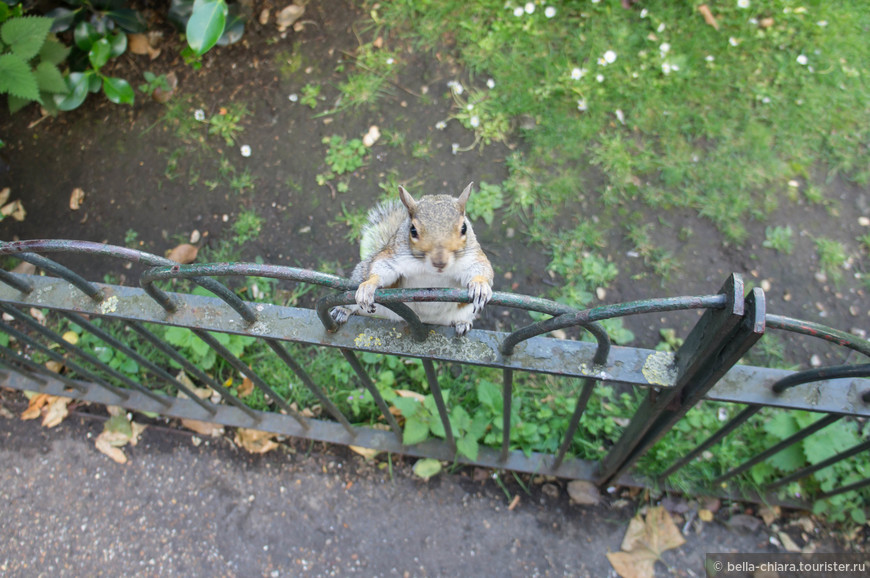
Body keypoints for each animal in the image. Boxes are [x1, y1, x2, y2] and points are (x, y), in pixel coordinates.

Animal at [334, 182, 494, 336]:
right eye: (413, 230)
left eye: (464, 228)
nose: (440, 262)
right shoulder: (394, 256)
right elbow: (382, 268)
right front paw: (369, 286)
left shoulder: (473, 257)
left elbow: (482, 269)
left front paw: (479, 285)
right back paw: (342, 310)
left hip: (464, 311)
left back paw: (462, 323)